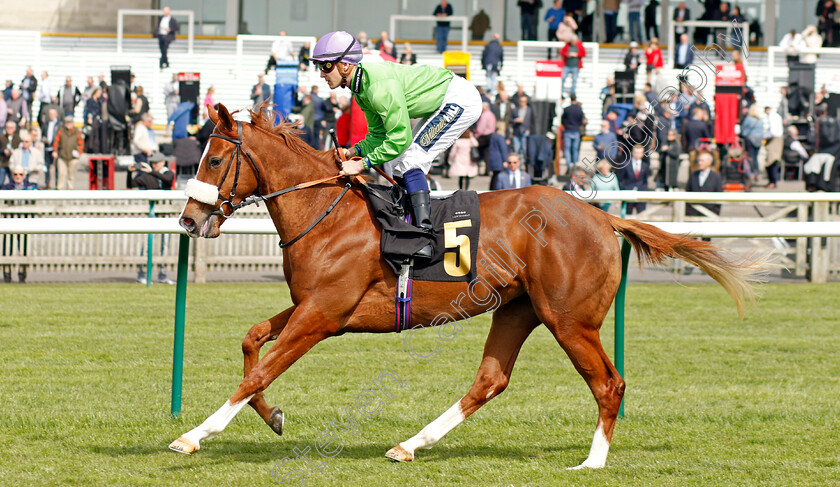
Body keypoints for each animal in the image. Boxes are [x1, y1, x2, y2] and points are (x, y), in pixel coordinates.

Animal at [171, 105, 760, 470]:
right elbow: (252, 340)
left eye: (215, 159)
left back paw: (593, 460)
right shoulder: (311, 308)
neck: (326, 211)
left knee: (608, 384)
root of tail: (599, 216)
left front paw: (194, 435)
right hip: (518, 309)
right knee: (490, 381)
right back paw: (411, 444)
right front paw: (272, 416)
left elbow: (259, 370)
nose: (188, 221)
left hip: (570, 319)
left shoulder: (322, 315)